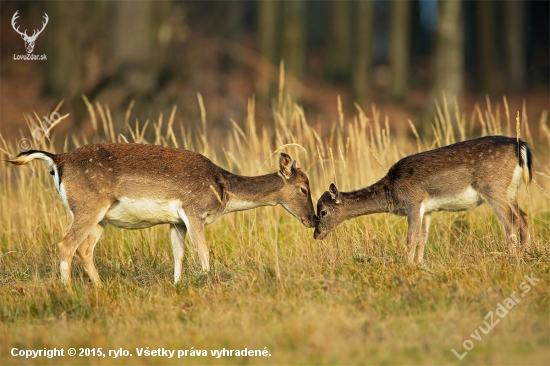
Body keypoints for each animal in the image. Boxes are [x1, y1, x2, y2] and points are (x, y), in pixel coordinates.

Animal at [8, 143, 316, 286]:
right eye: (304, 188)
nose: (313, 219)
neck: (223, 191)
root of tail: (57, 160)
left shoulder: (176, 221)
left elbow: (178, 254)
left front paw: (177, 285)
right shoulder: (194, 210)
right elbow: (204, 251)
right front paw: (207, 281)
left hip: (100, 217)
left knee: (84, 249)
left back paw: (99, 286)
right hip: (86, 207)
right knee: (65, 244)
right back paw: (69, 289)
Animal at [314, 135, 536, 264]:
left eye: (323, 211)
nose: (316, 234)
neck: (392, 193)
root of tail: (522, 148)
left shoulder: (413, 202)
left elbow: (411, 238)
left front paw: (407, 265)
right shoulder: (428, 209)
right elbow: (423, 239)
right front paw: (419, 264)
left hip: (493, 188)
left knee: (510, 221)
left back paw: (512, 258)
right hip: (511, 190)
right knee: (524, 218)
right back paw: (526, 253)